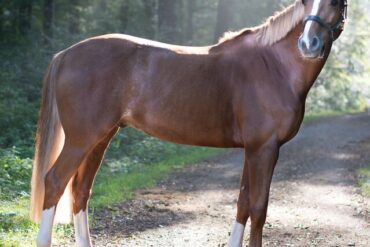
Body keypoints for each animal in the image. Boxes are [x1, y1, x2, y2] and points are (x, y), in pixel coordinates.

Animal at [31, 0, 346, 247]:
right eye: (305, 1)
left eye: (334, 2)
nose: (308, 44)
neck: (275, 65)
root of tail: (65, 54)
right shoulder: (265, 149)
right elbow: (258, 209)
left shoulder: (253, 149)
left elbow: (243, 203)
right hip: (81, 139)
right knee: (55, 181)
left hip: (100, 138)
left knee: (80, 191)